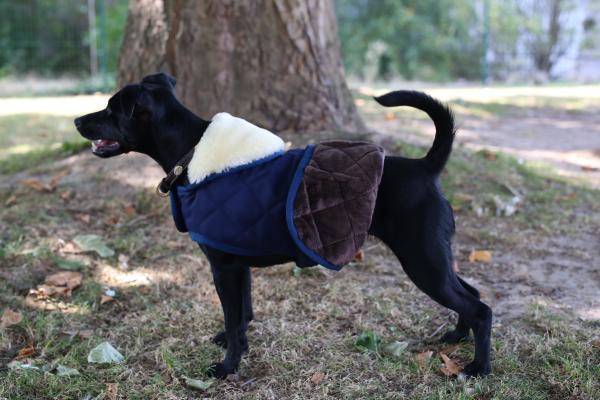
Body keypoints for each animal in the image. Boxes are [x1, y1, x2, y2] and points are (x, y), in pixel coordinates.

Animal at [74, 73, 492, 376]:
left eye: (111, 110)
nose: (77, 119)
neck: (192, 153)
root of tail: (426, 167)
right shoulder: (238, 265)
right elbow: (242, 315)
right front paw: (234, 346)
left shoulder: (223, 267)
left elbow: (234, 316)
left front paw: (226, 369)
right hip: (435, 258)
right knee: (470, 294)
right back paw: (456, 337)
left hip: (423, 262)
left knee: (480, 308)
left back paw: (478, 368)